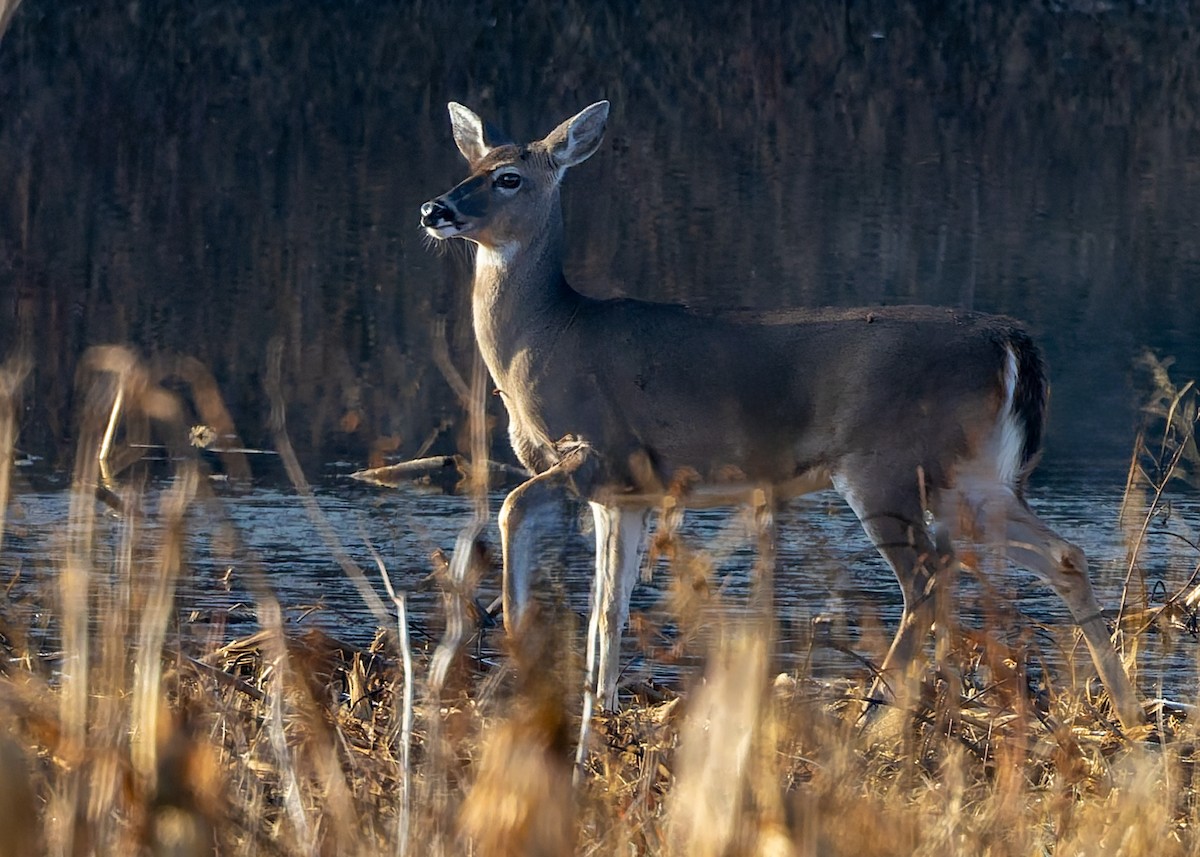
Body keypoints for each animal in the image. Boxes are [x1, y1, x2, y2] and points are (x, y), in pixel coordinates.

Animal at [419, 100, 1146, 743]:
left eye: (510, 177)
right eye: (471, 162)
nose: (435, 208)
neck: (548, 337)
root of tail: (1011, 339)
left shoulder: (600, 449)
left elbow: (513, 508)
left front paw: (515, 647)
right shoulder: (627, 493)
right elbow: (609, 607)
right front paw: (601, 704)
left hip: (888, 465)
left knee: (928, 574)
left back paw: (874, 718)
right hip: (972, 476)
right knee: (1060, 553)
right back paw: (1126, 708)